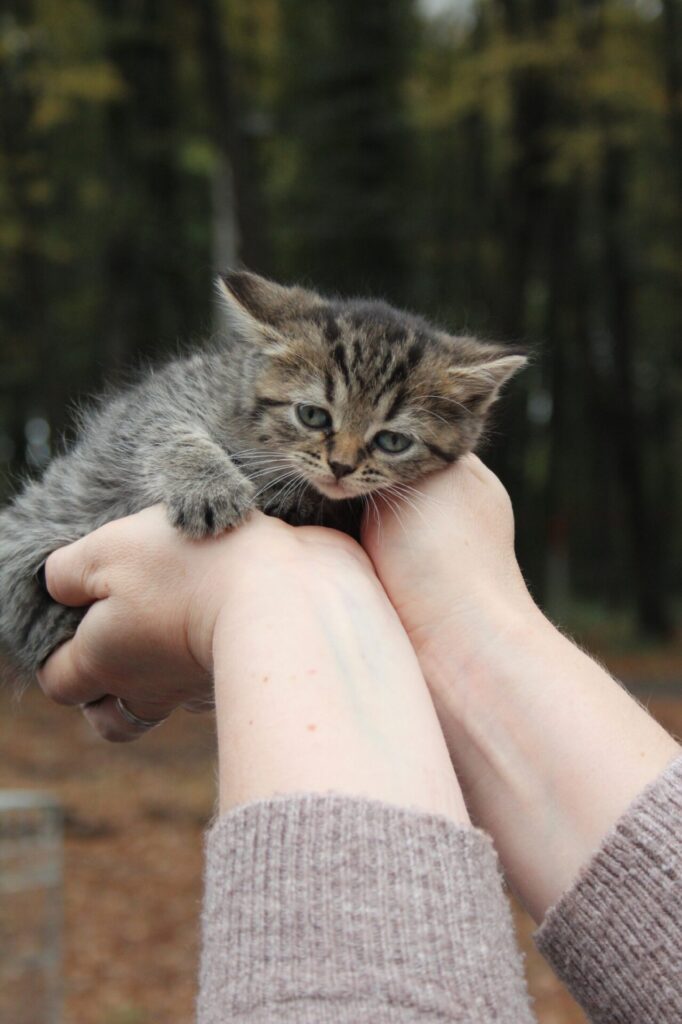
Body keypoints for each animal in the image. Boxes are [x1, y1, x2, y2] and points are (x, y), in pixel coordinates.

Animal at [0, 270, 524, 679]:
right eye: (312, 416)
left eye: (392, 442)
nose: (341, 466)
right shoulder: (153, 406)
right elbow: (167, 432)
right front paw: (210, 488)